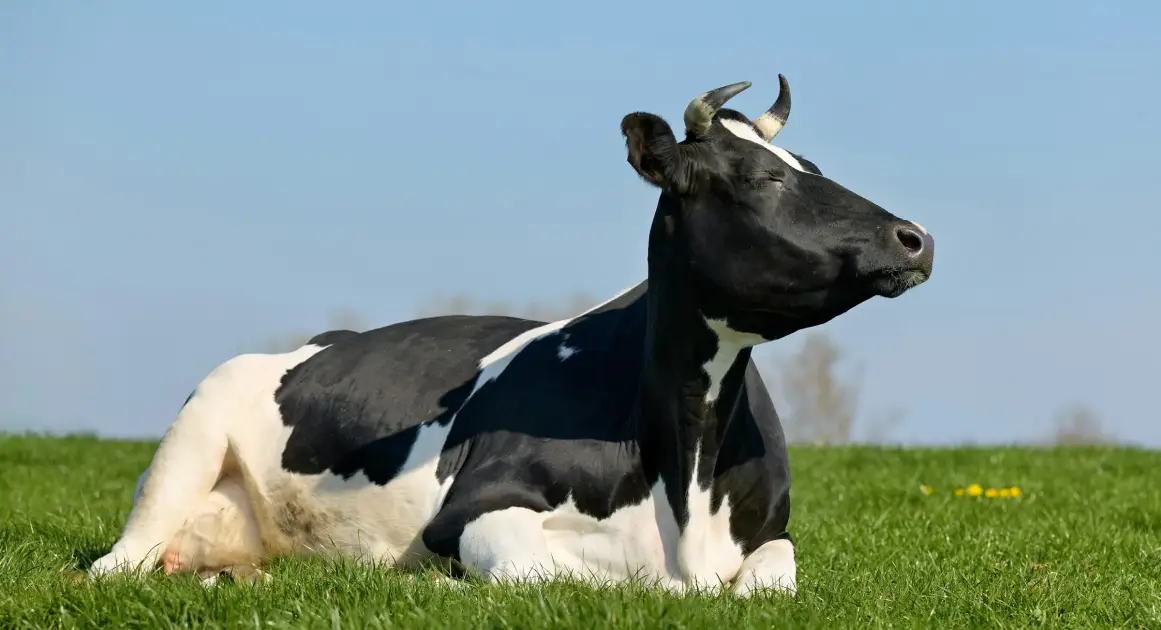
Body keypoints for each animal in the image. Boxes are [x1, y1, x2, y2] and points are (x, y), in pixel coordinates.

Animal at [87, 75, 934, 596]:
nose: (913, 237)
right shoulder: (474, 508)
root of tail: (317, 340)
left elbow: (769, 580)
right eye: (764, 178)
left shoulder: (774, 537)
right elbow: (550, 573)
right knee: (113, 566)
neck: (684, 482)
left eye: (807, 163)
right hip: (190, 437)